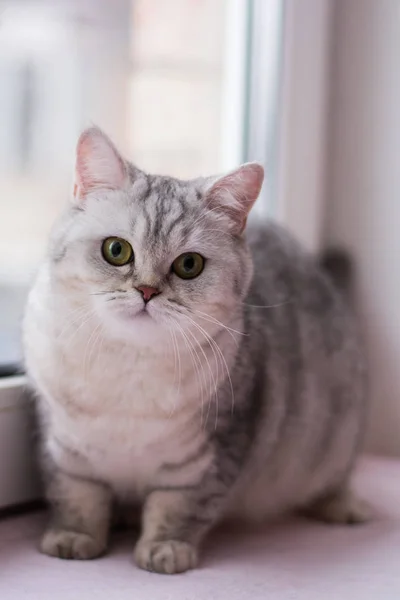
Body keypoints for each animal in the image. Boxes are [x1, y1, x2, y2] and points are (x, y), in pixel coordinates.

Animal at [23, 127, 370, 576]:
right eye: (116, 250)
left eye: (189, 265)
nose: (147, 291)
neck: (129, 367)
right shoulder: (66, 447)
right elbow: (77, 496)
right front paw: (73, 537)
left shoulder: (209, 456)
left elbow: (177, 508)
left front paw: (166, 549)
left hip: (338, 435)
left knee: (336, 478)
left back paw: (344, 507)